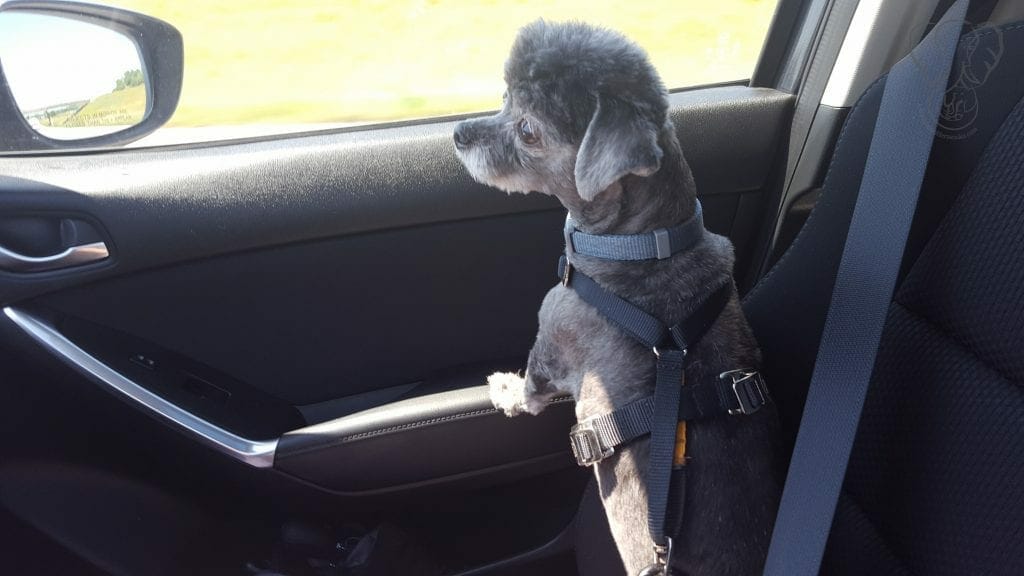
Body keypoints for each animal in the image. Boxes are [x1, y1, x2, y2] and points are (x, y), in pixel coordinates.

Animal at [452, 20, 778, 569]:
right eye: (504, 98)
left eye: (528, 129)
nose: (457, 133)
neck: (645, 244)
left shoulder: (550, 347)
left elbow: (529, 392)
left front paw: (503, 389)